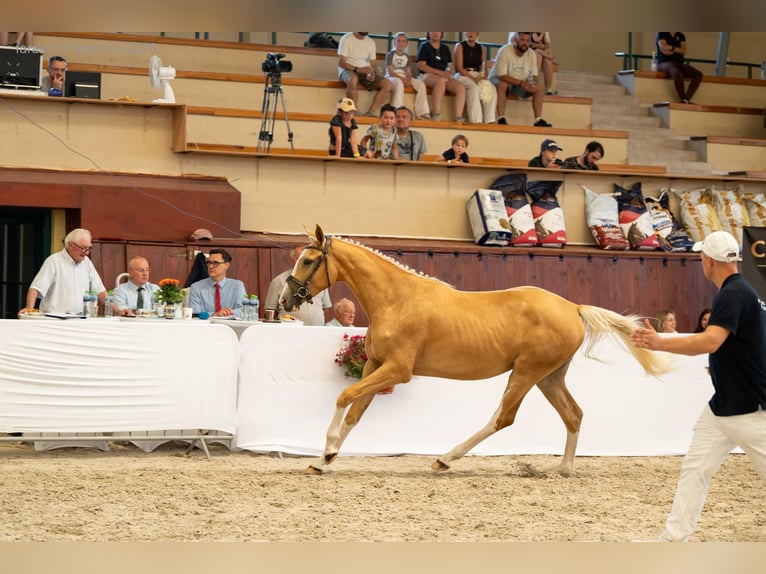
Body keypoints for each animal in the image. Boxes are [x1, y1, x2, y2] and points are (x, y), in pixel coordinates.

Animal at [281, 225, 668, 476]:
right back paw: (564, 468)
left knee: (503, 418)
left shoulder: (397, 370)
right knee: (573, 414)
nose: (286, 300)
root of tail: (573, 306)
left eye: (308, 260)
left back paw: (444, 459)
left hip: (526, 372)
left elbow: (344, 397)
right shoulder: (373, 366)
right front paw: (322, 460)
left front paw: (327, 451)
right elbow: (355, 413)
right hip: (549, 376)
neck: (397, 300)